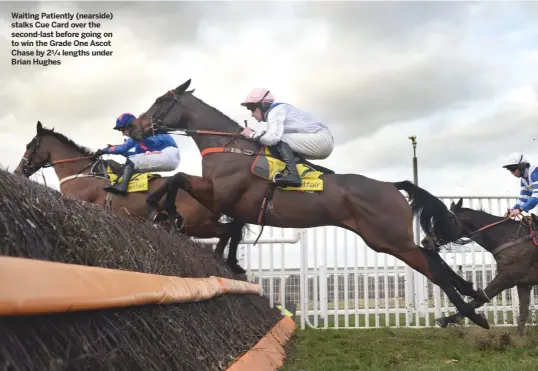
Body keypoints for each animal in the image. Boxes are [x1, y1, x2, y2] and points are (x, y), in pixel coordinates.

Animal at [124, 77, 490, 328]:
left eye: (160, 100)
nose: (133, 128)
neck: (230, 149)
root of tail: (390, 185)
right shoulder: (234, 208)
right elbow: (229, 229)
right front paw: (228, 261)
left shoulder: (219, 197)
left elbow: (178, 180)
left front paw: (161, 208)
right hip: (389, 239)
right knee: (434, 258)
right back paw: (473, 293)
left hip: (389, 240)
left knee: (433, 269)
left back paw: (472, 315)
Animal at [392, 180, 536, 338]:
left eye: (447, 219)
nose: (426, 241)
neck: (510, 236)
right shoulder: (522, 283)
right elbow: (523, 313)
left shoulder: (508, 277)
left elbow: (478, 300)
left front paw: (446, 319)